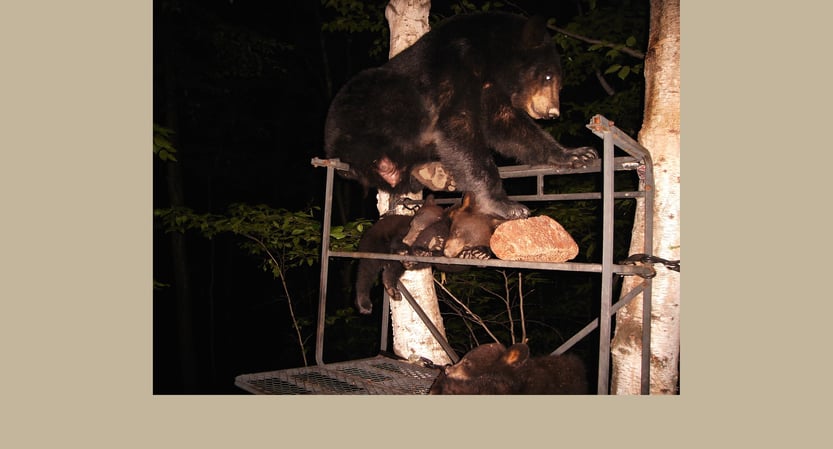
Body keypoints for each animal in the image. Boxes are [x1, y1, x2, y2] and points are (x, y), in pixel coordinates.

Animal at [324, 12, 598, 220]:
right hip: (368, 105)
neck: (488, 59)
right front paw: (507, 205)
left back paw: (432, 173)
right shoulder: (453, 66)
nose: (553, 113)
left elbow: (507, 126)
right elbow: (459, 126)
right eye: (548, 76)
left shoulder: (490, 89)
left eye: (558, 82)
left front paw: (577, 154)